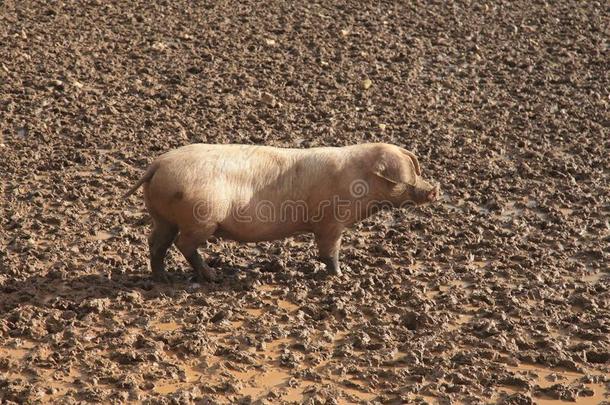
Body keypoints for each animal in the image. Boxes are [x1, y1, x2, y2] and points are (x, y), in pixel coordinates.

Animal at [123, 144, 436, 282]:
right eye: (408, 177)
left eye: (416, 170)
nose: (433, 189)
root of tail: (157, 165)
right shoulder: (330, 221)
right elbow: (329, 251)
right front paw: (341, 276)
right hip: (200, 218)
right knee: (183, 244)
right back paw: (213, 276)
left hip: (162, 217)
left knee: (156, 243)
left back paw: (162, 278)